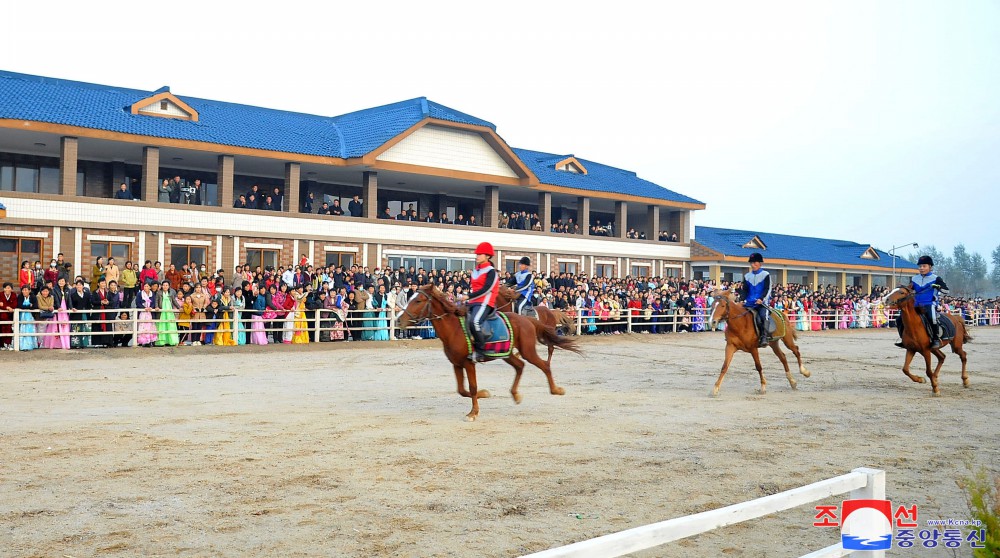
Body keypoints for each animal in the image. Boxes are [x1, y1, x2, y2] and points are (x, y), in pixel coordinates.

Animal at [390, 286, 580, 422]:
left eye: (418, 300)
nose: (399, 320)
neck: (454, 329)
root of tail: (527, 319)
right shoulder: (457, 364)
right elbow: (462, 390)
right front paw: (484, 394)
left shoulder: (468, 363)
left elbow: (472, 387)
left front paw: (473, 412)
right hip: (508, 354)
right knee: (520, 366)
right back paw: (515, 394)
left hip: (527, 351)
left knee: (544, 364)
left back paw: (556, 389)